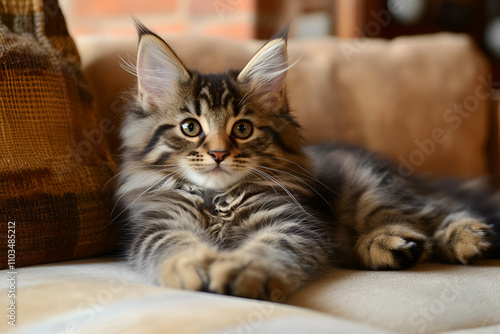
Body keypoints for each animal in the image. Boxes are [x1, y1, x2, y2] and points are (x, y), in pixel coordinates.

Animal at [115, 22, 498, 302]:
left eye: (242, 129)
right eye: (190, 127)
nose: (219, 154)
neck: (219, 199)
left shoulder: (291, 222)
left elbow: (267, 249)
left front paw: (240, 271)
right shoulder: (158, 225)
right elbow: (175, 245)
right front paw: (194, 265)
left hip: (372, 191)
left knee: (442, 209)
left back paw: (465, 236)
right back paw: (389, 245)